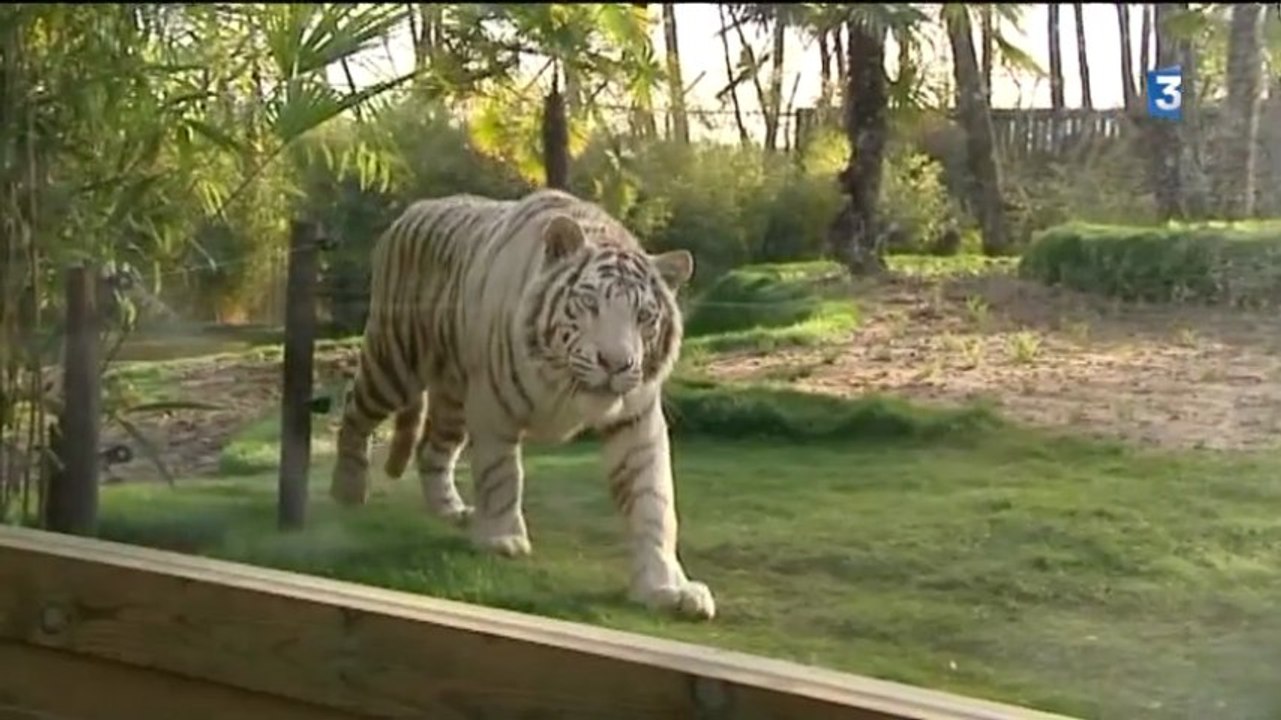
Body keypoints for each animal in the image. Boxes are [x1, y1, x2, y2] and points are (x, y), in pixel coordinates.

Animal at [329, 188, 715, 621]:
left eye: (645, 316)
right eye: (589, 304)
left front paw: (667, 587)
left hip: (453, 399)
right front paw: (503, 539)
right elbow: (502, 475)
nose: (615, 363)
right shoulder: (494, 408)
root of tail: (413, 209)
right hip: (394, 362)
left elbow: (653, 502)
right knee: (354, 412)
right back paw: (347, 491)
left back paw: (451, 510)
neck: (567, 387)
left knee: (433, 450)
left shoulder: (637, 421)